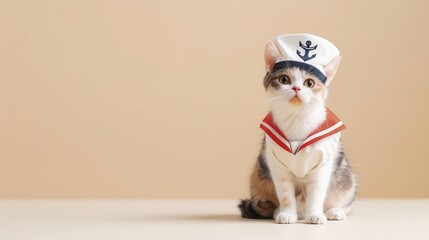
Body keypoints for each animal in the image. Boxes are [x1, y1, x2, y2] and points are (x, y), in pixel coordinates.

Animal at [239, 34, 356, 224]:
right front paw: (287, 213)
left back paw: (335, 211)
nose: (296, 88)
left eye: (310, 82)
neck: (296, 120)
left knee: (346, 200)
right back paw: (278, 211)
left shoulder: (323, 164)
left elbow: (316, 193)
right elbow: (285, 194)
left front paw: (315, 214)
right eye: (284, 80)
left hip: (347, 179)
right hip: (258, 176)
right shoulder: (276, 164)